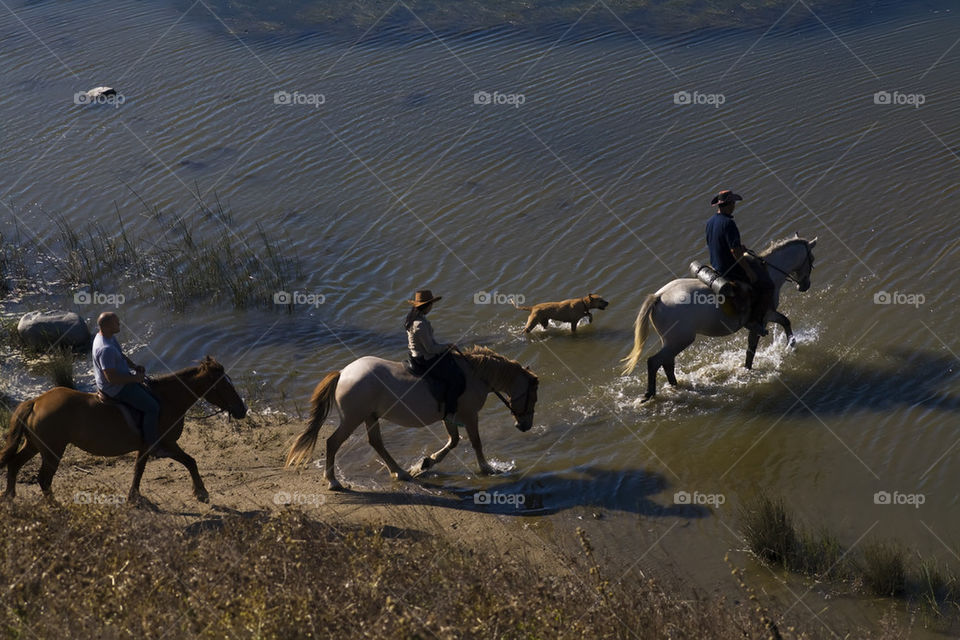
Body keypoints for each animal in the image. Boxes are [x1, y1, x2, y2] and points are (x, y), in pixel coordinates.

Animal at [1, 358, 248, 502]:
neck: (166, 400)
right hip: (52, 451)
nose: (242, 409)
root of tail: (36, 401)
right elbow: (189, 462)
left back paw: (10, 497)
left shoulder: (148, 446)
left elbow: (140, 470)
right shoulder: (165, 444)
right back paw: (54, 505)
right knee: (43, 479)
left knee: (14, 465)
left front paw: (133, 496)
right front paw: (201, 492)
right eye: (223, 385)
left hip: (34, 445)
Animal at [284, 344, 540, 490]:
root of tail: (343, 373)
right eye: (534, 398)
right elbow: (475, 443)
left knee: (376, 443)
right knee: (333, 442)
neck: (474, 375)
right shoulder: (469, 416)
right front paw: (488, 470)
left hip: (370, 416)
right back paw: (333, 481)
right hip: (352, 419)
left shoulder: (450, 417)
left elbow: (453, 441)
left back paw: (402, 472)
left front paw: (425, 464)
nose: (525, 426)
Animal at [624, 238, 816, 402]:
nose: (804, 286)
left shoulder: (768, 316)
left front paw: (791, 345)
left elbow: (784, 322)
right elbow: (754, 347)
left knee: (667, 363)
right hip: (681, 340)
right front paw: (789, 345)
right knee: (654, 362)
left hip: (672, 341)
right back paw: (649, 394)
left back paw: (675, 386)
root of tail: (658, 296)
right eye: (812, 259)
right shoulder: (764, 318)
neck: (770, 273)